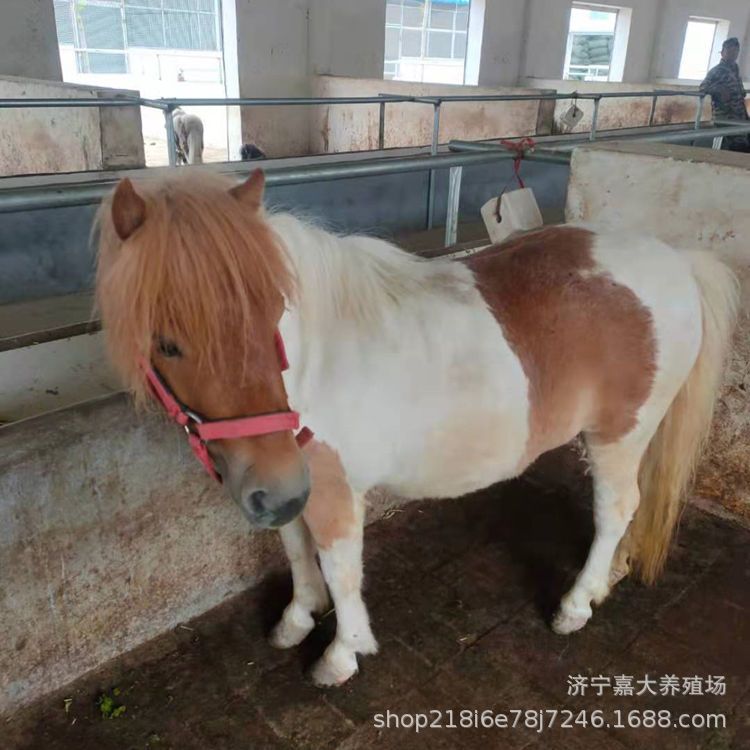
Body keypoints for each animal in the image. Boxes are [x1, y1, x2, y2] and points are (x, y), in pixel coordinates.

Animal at [95, 170, 738, 687]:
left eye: (272, 315)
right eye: (165, 344)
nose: (271, 484)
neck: (310, 361)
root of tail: (677, 261)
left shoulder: (329, 489)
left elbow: (340, 570)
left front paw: (341, 655)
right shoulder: (288, 485)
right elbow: (295, 550)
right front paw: (297, 619)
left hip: (617, 435)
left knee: (615, 508)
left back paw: (577, 604)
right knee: (633, 505)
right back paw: (611, 576)